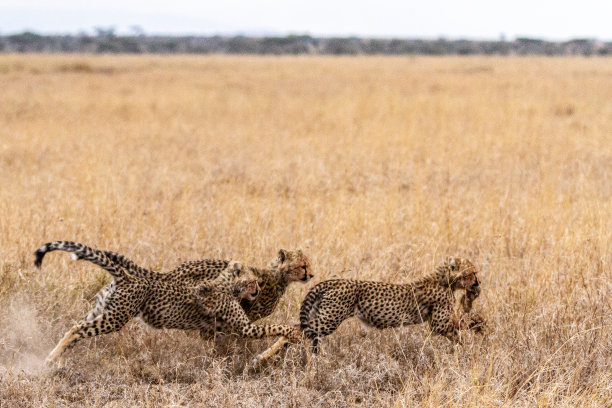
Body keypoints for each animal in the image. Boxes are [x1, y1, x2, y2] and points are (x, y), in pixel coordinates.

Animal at [33, 241, 302, 364]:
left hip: (101, 310)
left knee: (73, 327)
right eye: (254, 281)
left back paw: (55, 355)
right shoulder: (244, 327)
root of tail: (128, 276)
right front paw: (293, 332)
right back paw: (50, 359)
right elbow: (273, 326)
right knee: (77, 329)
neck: (228, 284)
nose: (258, 290)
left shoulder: (218, 328)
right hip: (114, 318)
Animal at [252, 258, 482, 366]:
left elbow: (459, 330)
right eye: (473, 272)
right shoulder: (439, 324)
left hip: (319, 316)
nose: (479, 282)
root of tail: (331, 281)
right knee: (296, 332)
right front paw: (477, 331)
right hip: (327, 321)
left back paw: (263, 357)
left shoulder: (441, 323)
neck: (446, 280)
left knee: (293, 329)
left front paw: (465, 346)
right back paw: (262, 358)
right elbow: (465, 322)